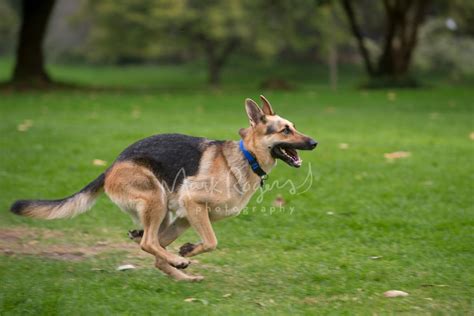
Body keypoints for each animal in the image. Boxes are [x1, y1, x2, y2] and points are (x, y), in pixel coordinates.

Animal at [9, 96, 316, 282]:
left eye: (294, 127)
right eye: (285, 130)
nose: (314, 143)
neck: (246, 157)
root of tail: (112, 166)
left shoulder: (187, 216)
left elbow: (205, 242)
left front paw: (187, 252)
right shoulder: (193, 204)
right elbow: (212, 241)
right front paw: (188, 252)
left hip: (170, 217)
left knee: (152, 247)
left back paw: (182, 275)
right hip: (156, 200)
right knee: (148, 242)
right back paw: (178, 264)